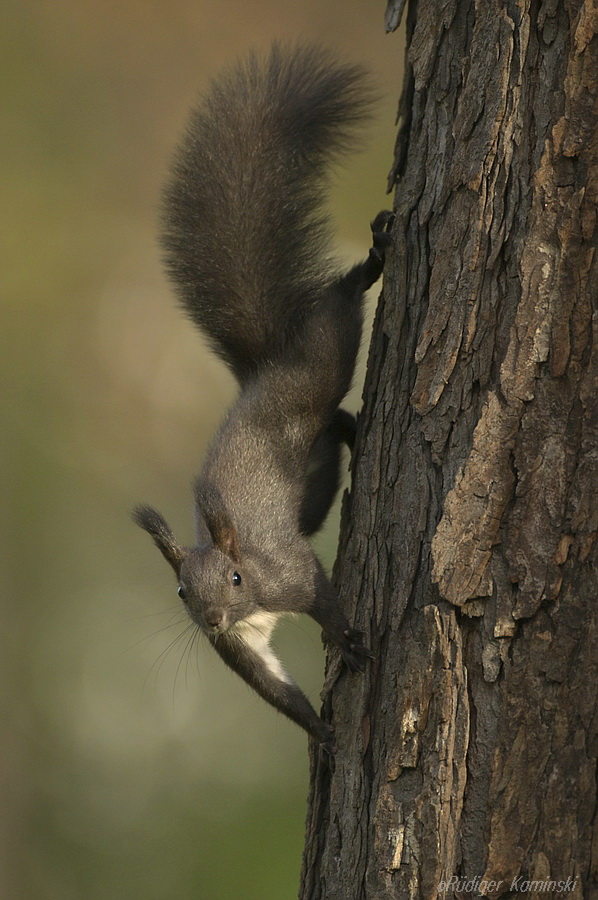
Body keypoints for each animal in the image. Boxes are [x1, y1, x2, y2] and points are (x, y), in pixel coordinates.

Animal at [134, 45, 394, 756]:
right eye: (180, 593)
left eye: (235, 579)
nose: (213, 618)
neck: (253, 600)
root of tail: (263, 370)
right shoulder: (240, 650)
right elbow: (276, 689)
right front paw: (322, 733)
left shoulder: (287, 570)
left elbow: (323, 595)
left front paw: (347, 640)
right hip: (316, 478)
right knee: (336, 429)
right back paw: (353, 428)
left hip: (318, 362)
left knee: (337, 312)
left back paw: (373, 260)